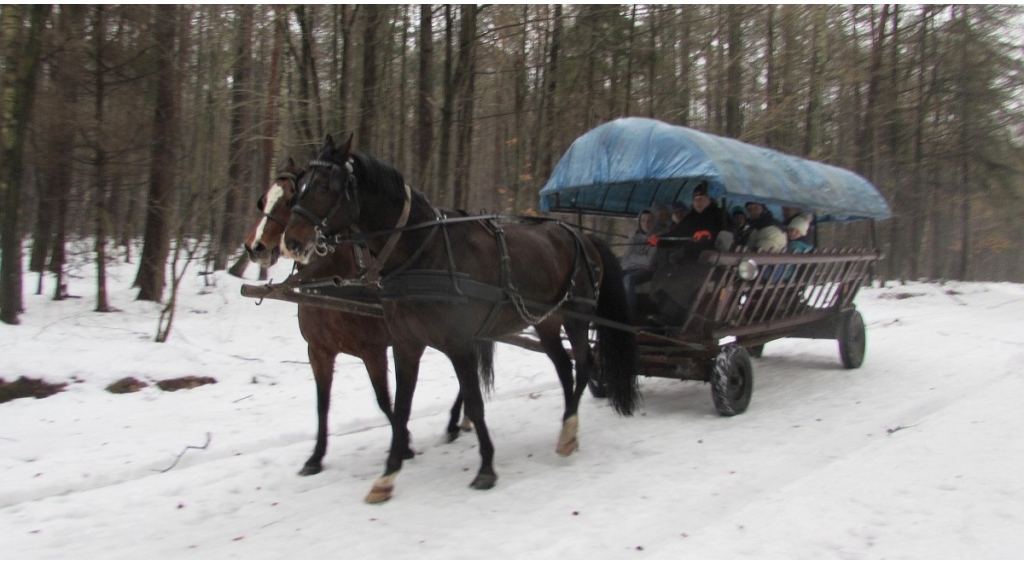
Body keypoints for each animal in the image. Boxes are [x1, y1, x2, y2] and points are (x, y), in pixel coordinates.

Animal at [240, 156, 483, 479]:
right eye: (264, 199)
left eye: (291, 199)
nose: (255, 247)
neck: (334, 280)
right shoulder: (319, 351)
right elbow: (322, 403)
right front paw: (316, 457)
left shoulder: (373, 351)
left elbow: (384, 400)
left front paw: (404, 444)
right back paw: (461, 419)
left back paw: (457, 420)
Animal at [276, 136, 634, 503]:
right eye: (300, 187)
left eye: (324, 186)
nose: (291, 242)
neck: (424, 251)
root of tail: (582, 236)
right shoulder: (405, 345)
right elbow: (400, 406)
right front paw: (387, 475)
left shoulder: (458, 344)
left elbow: (474, 403)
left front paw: (486, 468)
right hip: (545, 322)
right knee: (564, 367)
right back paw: (566, 428)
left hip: (576, 316)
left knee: (584, 363)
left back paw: (569, 429)